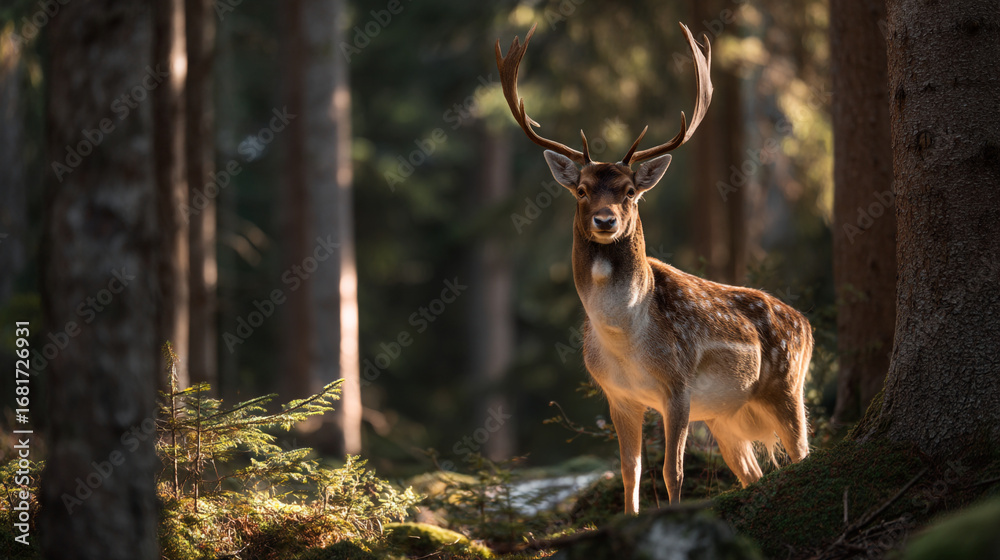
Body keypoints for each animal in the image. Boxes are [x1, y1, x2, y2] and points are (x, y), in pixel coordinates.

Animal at [496, 23, 813, 513]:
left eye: (629, 191)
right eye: (582, 190)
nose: (605, 221)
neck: (624, 337)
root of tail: (807, 323)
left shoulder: (678, 387)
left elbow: (672, 471)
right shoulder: (618, 396)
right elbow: (630, 471)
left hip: (787, 386)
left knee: (803, 454)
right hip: (727, 416)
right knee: (754, 470)